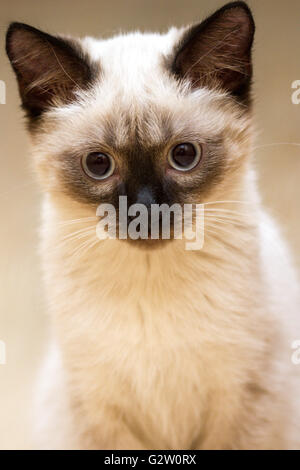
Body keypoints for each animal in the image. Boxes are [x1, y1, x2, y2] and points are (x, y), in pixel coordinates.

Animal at [5, 0, 300, 448]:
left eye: (183, 156)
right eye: (98, 164)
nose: (144, 211)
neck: (151, 284)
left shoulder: (244, 401)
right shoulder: (100, 411)